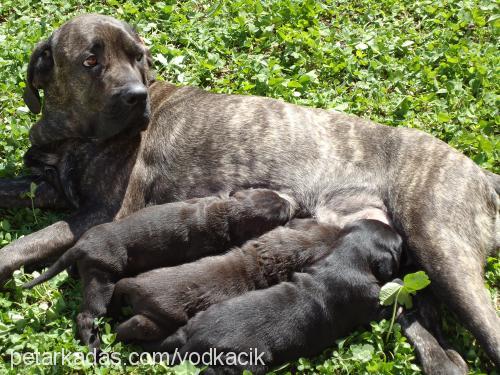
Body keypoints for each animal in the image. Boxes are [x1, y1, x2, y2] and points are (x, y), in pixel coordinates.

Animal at [23, 189, 294, 352]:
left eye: (275, 194)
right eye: (282, 212)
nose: (293, 201)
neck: (223, 212)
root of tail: (81, 246)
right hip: (100, 280)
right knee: (87, 315)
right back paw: (95, 346)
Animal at [155, 219, 402, 374]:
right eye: (399, 246)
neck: (348, 254)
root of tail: (193, 340)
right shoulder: (370, 305)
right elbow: (388, 307)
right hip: (243, 363)